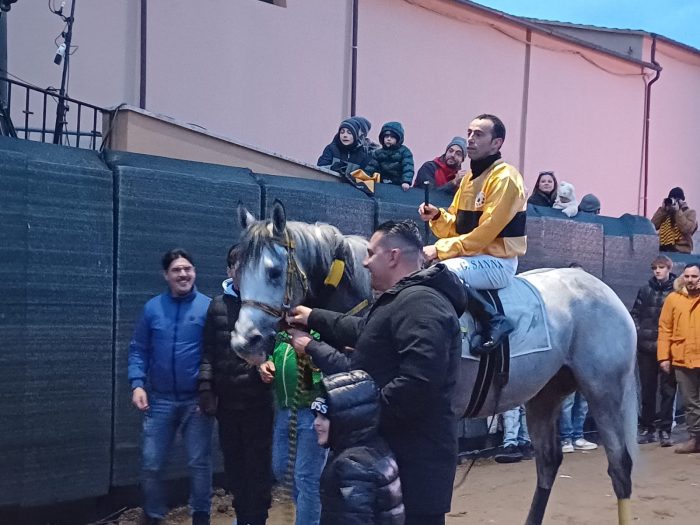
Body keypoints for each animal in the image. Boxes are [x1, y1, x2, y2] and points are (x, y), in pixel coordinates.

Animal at [232, 201, 636, 524]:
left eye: (272, 271)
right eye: (235, 272)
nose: (243, 341)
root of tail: (602, 289)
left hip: (605, 391)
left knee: (621, 468)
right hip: (544, 395)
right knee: (548, 465)